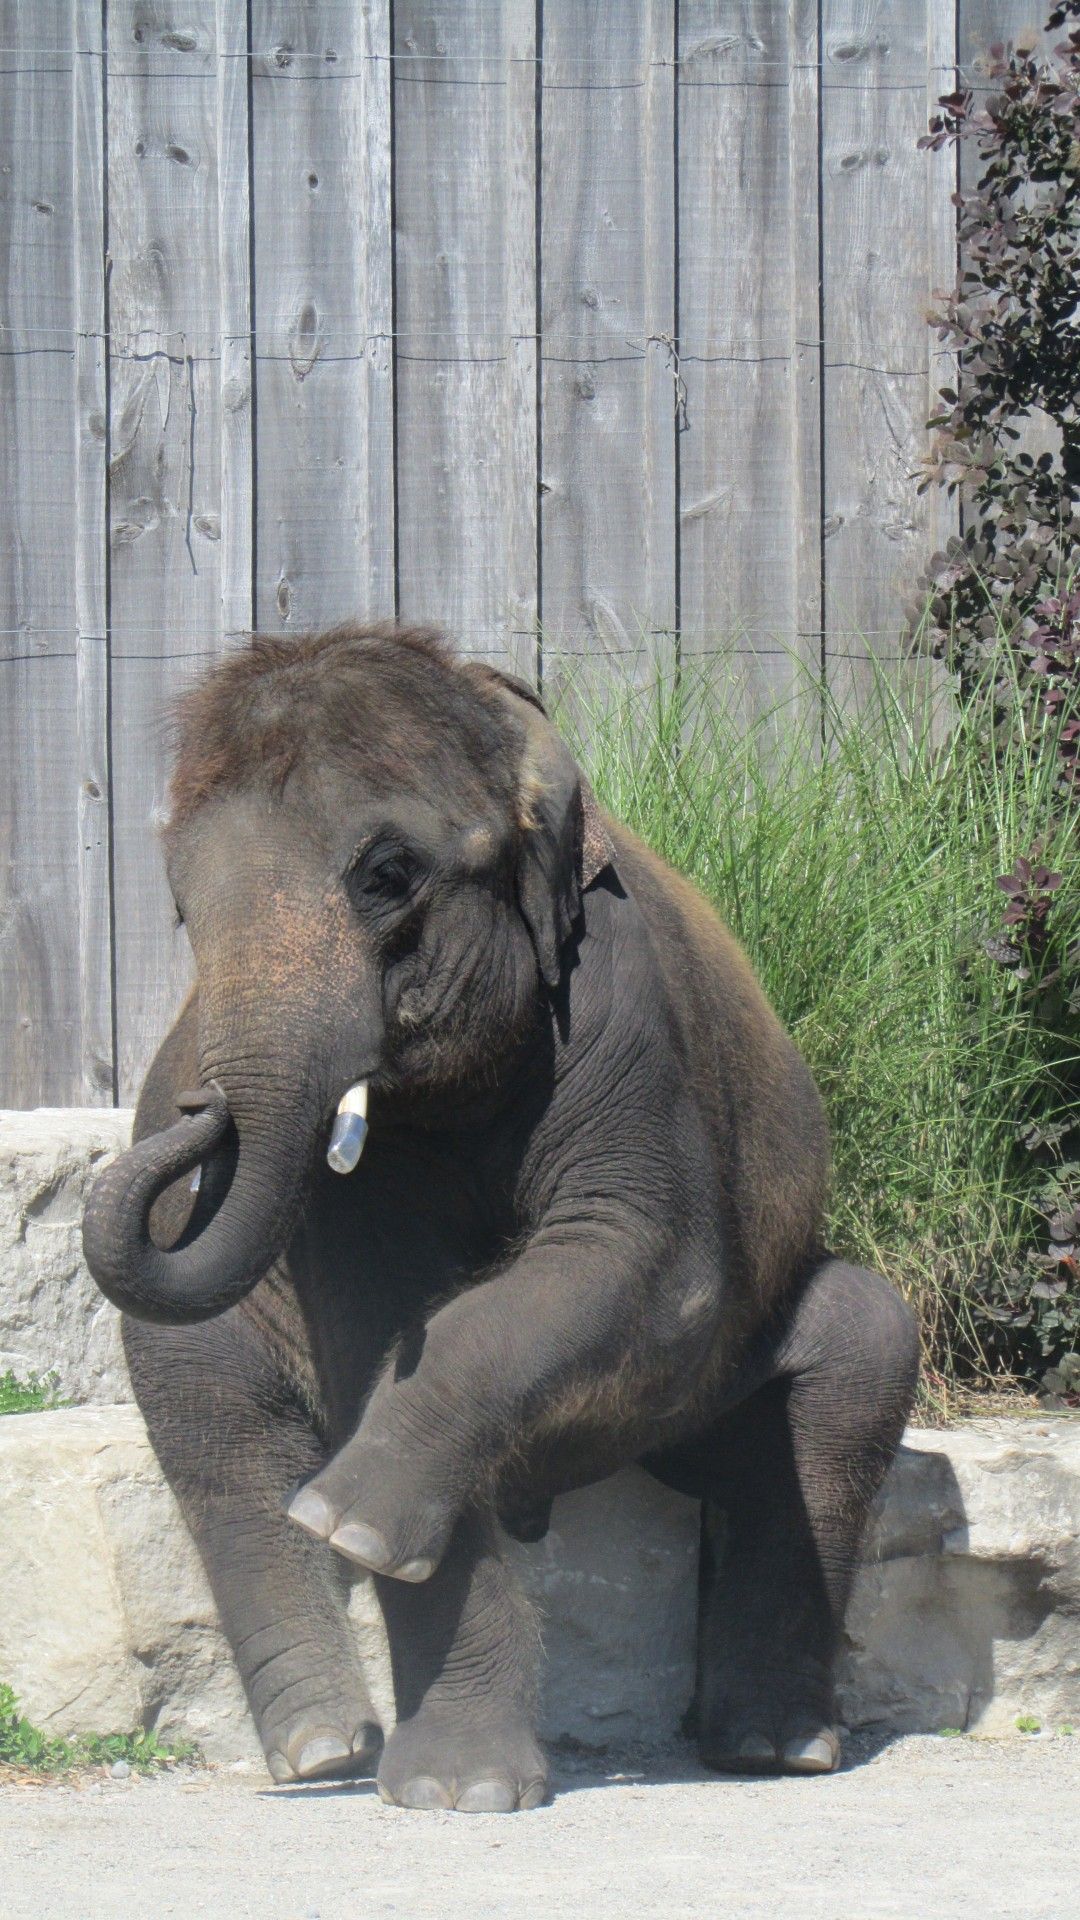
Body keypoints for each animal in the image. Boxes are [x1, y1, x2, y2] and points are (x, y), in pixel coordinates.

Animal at [82, 622, 919, 1812]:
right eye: (184, 914)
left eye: (386, 876)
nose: (194, 1110)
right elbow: (375, 1329)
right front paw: (459, 1789)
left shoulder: (620, 1004)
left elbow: (643, 1261)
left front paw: (352, 1520)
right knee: (212, 1423)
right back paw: (323, 1750)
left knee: (855, 1359)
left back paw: (772, 1749)